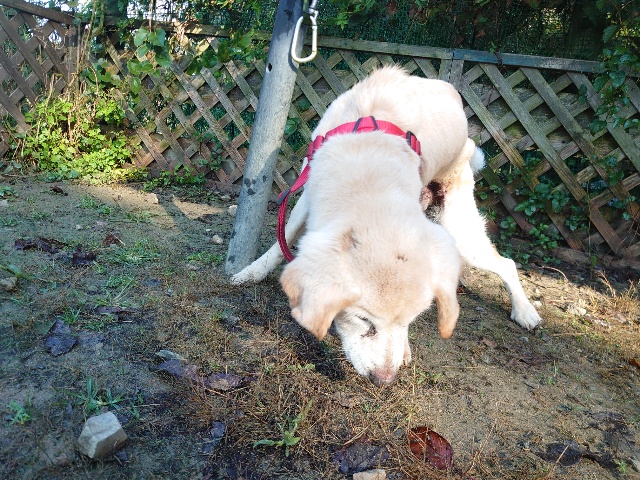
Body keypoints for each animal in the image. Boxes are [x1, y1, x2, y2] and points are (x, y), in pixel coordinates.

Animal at [231, 66, 542, 385]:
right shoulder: (309, 191)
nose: (384, 380)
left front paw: (404, 350)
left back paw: (525, 312)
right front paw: (250, 272)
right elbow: (282, 238)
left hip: (459, 230)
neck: (367, 166)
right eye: (363, 320)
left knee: (506, 263)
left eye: (411, 321)